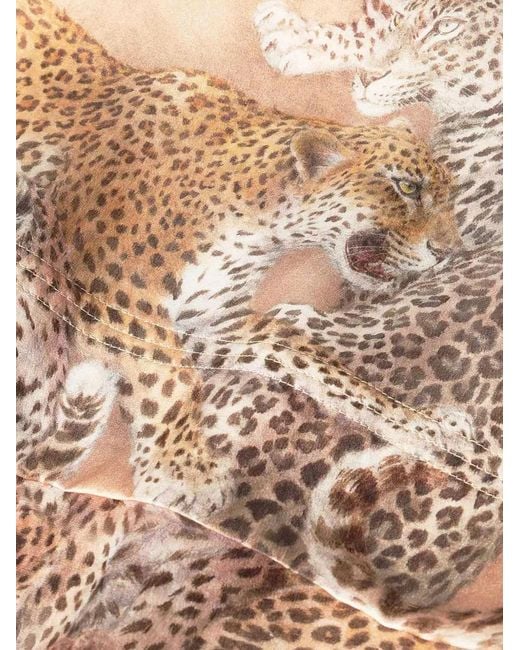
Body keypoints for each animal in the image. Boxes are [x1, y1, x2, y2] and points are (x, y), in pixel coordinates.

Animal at [16, 0, 502, 646]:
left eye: (447, 197)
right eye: (406, 187)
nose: (451, 250)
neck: (265, 218)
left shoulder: (215, 327)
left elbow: (311, 362)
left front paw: (433, 432)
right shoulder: (112, 283)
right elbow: (170, 376)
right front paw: (186, 474)